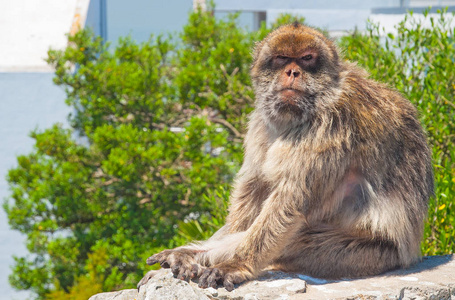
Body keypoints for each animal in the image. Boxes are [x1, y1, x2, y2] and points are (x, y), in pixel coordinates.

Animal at [138, 24, 434, 292]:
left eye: (307, 58)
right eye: (281, 58)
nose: (292, 72)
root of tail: (409, 254)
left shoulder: (331, 125)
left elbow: (290, 201)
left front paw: (237, 265)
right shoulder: (261, 121)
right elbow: (254, 188)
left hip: (369, 254)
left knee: (298, 240)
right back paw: (189, 256)